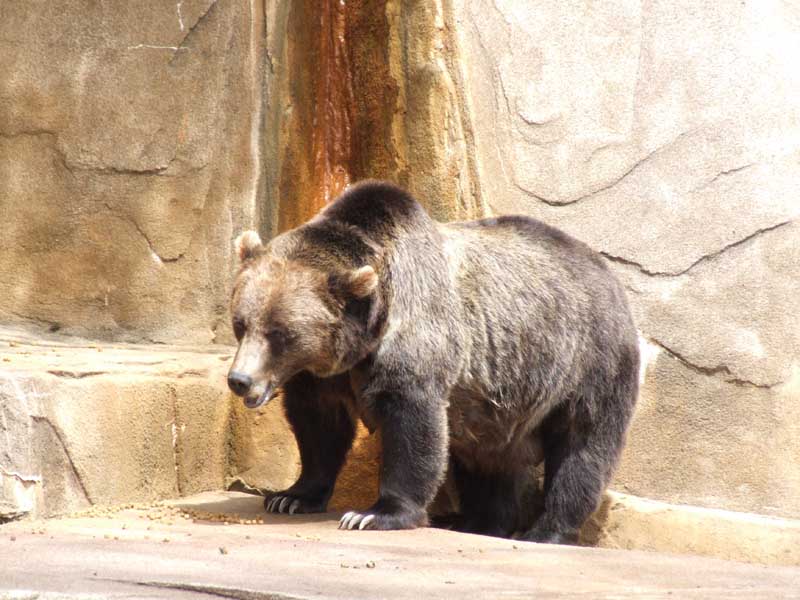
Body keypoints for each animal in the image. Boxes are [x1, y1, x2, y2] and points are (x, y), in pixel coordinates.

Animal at [228, 179, 640, 544]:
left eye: (280, 333)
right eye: (241, 323)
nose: (239, 379)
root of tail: (607, 273)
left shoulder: (416, 332)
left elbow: (413, 423)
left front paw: (374, 514)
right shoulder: (323, 377)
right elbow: (318, 426)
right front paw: (290, 496)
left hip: (587, 363)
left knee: (581, 448)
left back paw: (546, 529)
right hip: (496, 404)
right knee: (487, 461)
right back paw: (478, 521)